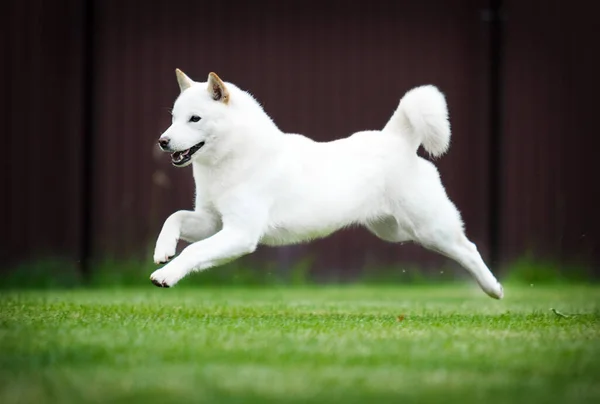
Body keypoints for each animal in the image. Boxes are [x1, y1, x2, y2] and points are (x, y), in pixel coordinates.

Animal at [150, 69, 502, 298]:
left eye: (195, 118)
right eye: (173, 117)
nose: (163, 141)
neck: (233, 160)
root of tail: (397, 140)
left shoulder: (240, 233)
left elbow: (195, 251)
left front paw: (167, 274)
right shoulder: (211, 221)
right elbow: (174, 218)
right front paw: (163, 250)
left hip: (430, 227)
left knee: (468, 248)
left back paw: (493, 289)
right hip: (395, 231)